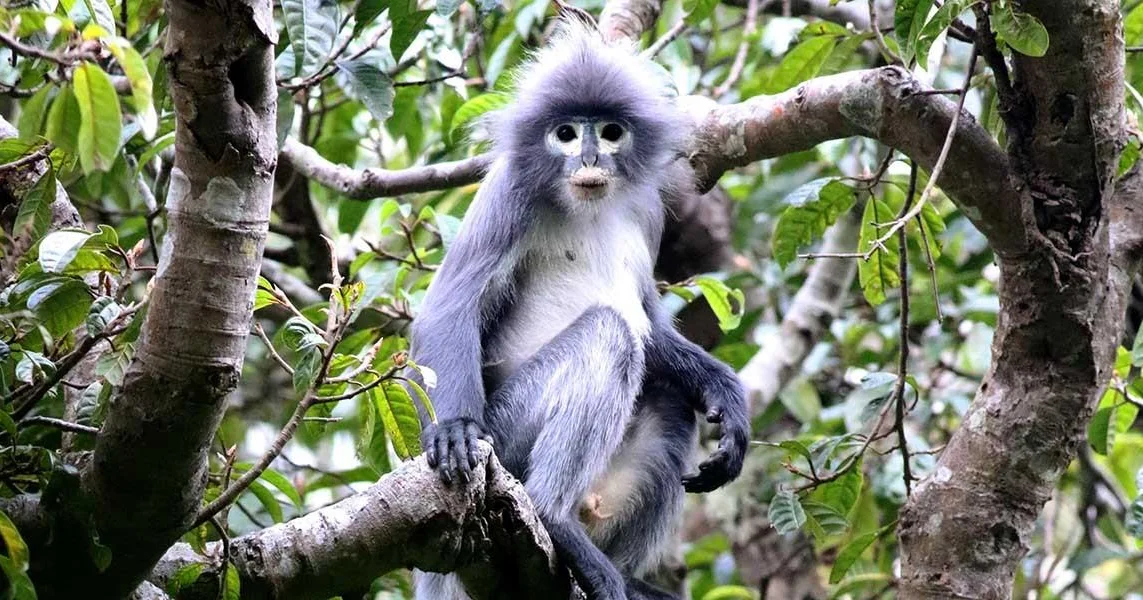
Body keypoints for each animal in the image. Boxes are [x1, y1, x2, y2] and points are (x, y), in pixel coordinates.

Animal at [409, 19, 750, 600]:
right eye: (566, 134)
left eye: (609, 132)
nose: (589, 159)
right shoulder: (509, 192)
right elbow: (448, 308)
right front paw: (452, 428)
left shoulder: (647, 210)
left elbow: (651, 324)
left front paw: (726, 394)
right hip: (507, 437)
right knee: (608, 334)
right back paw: (555, 517)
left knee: (668, 391)